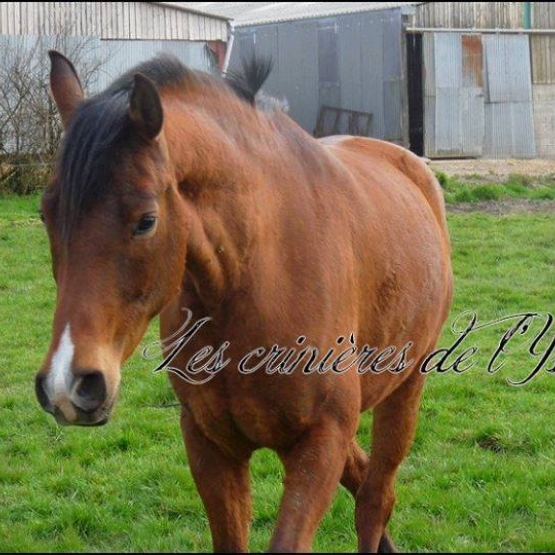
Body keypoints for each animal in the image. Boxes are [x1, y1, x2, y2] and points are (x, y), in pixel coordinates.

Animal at [33, 50, 452, 552]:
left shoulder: (320, 441)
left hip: (406, 387)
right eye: (46, 213)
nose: (68, 384)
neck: (254, 282)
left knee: (375, 498)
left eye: (146, 220)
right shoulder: (211, 446)